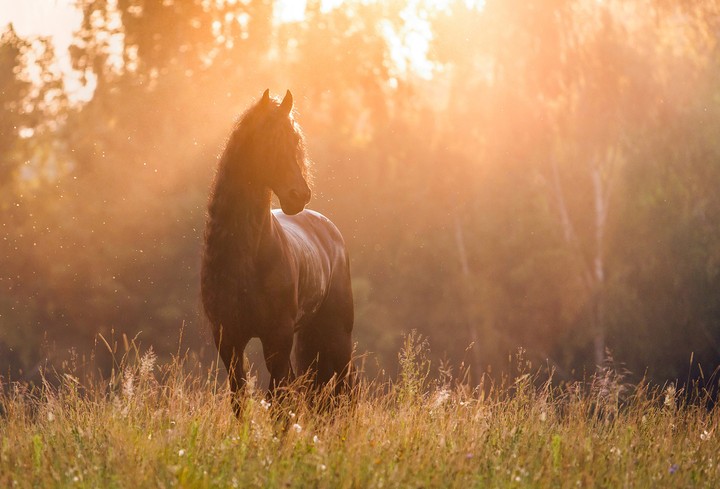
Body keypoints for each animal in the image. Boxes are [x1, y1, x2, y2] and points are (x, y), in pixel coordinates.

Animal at [201, 89, 354, 413]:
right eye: (268, 142)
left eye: (294, 142)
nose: (299, 195)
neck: (247, 258)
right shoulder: (228, 340)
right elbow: (241, 399)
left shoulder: (277, 338)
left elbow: (280, 400)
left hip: (338, 337)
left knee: (345, 390)